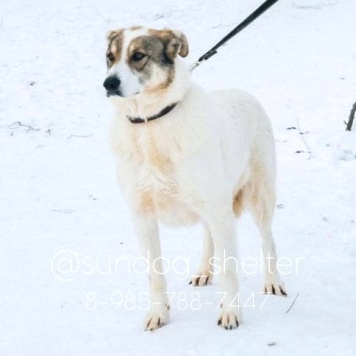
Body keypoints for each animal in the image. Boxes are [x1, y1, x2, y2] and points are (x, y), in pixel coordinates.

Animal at [103, 26, 286, 332]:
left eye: (138, 56)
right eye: (110, 56)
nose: (108, 84)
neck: (152, 123)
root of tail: (243, 93)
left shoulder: (219, 210)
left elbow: (229, 270)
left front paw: (231, 312)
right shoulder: (143, 216)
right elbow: (155, 275)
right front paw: (159, 313)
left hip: (258, 196)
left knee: (268, 240)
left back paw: (273, 282)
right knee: (209, 237)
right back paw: (203, 271)